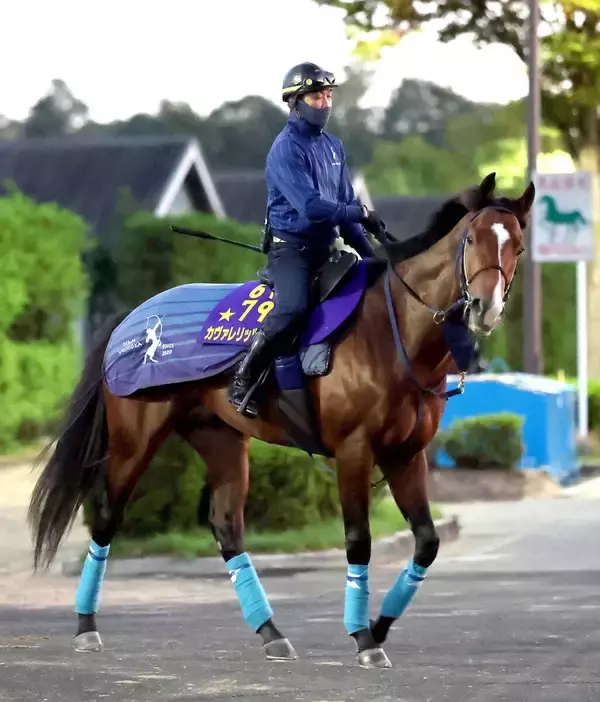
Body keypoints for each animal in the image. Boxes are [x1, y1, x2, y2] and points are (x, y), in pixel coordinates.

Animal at [28, 172, 534, 669]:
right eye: (471, 238)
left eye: (518, 246)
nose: (485, 308)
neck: (392, 332)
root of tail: (129, 318)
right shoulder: (355, 450)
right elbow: (359, 540)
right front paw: (363, 638)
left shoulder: (406, 455)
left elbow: (427, 543)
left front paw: (379, 627)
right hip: (134, 442)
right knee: (106, 518)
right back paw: (86, 627)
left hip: (221, 438)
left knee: (227, 527)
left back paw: (272, 633)